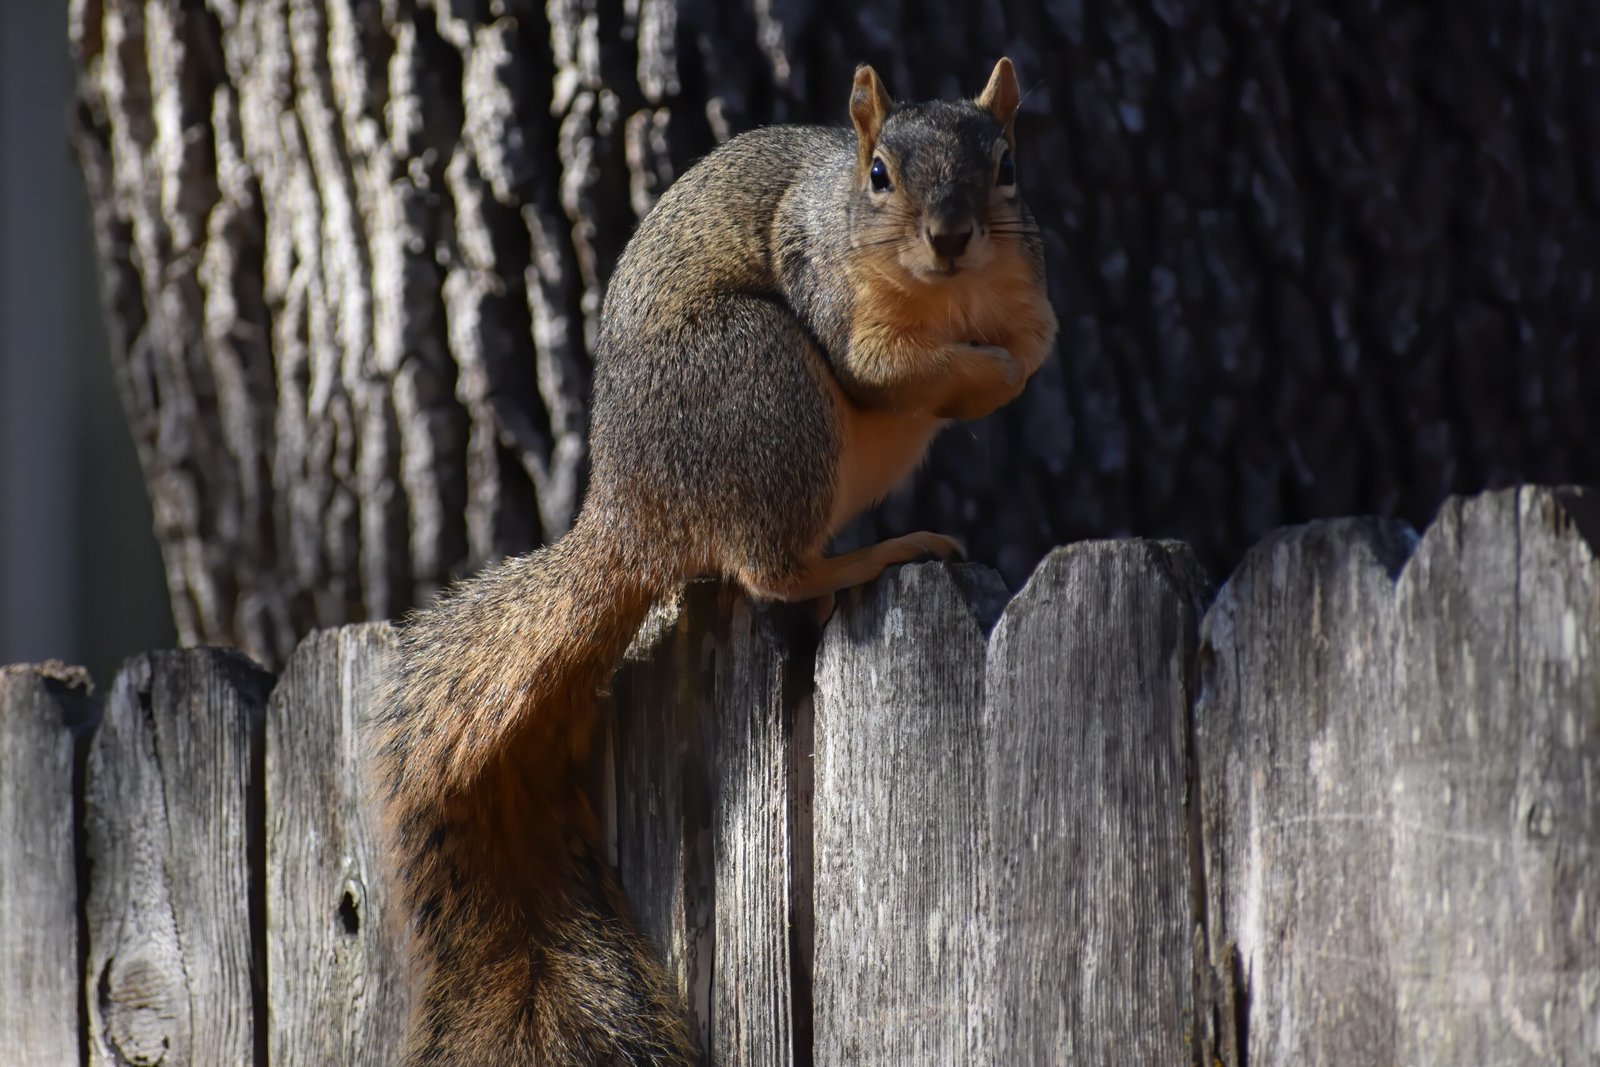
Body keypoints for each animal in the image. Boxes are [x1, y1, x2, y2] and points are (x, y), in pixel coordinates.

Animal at [368, 60, 1056, 1067]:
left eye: (1007, 165)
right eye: (879, 175)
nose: (953, 235)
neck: (948, 300)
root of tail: (633, 509)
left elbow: (1032, 345)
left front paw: (1008, 367)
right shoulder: (831, 298)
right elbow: (885, 372)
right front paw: (984, 372)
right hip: (763, 381)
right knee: (772, 571)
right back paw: (883, 550)